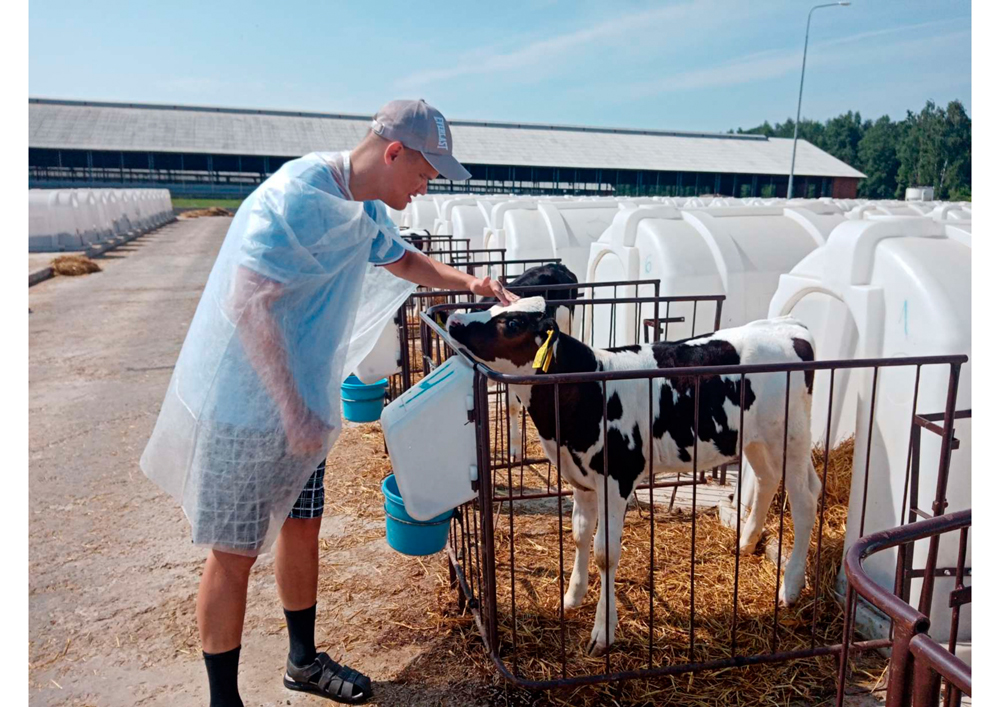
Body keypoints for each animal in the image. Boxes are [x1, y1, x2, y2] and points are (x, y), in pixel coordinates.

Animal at [446, 296, 820, 656]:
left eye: (513, 323)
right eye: (496, 306)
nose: (453, 320)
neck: (587, 389)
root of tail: (789, 326)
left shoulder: (617, 480)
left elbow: (605, 553)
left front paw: (602, 632)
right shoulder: (581, 479)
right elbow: (579, 535)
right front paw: (571, 597)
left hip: (790, 439)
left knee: (804, 501)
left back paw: (790, 587)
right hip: (756, 440)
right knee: (768, 479)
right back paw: (745, 543)